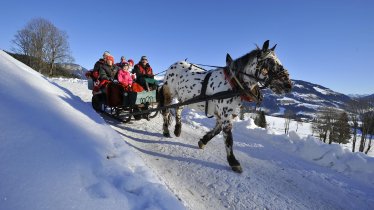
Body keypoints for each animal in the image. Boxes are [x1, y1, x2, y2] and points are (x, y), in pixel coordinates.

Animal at [158, 40, 292, 173]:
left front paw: (203, 141)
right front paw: (233, 162)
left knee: (178, 109)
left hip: (184, 98)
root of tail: (174, 64)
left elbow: (217, 131)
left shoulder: (226, 114)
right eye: (270, 62)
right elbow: (228, 138)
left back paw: (177, 129)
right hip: (169, 94)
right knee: (165, 111)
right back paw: (166, 130)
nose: (288, 85)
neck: (233, 84)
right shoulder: (225, 115)